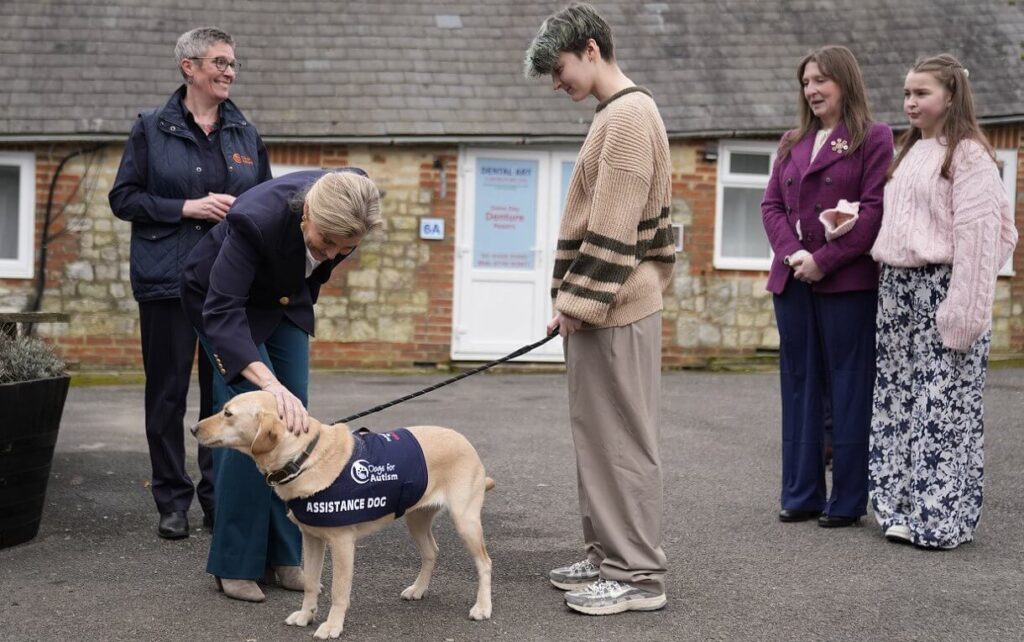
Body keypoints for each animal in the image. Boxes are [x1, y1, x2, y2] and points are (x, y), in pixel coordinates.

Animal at [194, 389, 495, 638]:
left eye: (228, 414)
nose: (193, 428)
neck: (303, 458)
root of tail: (464, 440)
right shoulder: (312, 538)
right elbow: (311, 583)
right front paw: (306, 615)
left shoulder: (342, 544)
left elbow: (338, 591)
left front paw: (332, 626)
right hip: (416, 518)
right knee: (432, 552)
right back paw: (418, 589)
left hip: (465, 522)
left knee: (485, 563)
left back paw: (482, 607)